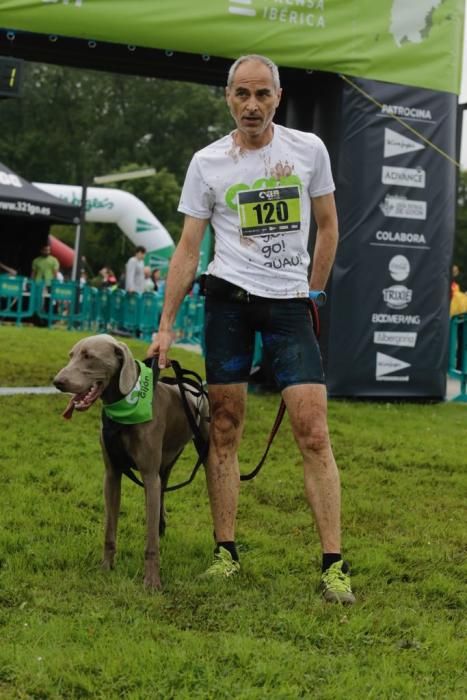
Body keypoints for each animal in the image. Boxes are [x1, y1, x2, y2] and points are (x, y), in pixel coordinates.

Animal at [53, 336, 210, 588]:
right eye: (71, 355)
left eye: (89, 356)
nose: (58, 382)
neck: (124, 408)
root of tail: (194, 386)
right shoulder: (112, 474)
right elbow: (110, 529)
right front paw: (106, 568)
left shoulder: (149, 475)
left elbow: (150, 543)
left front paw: (152, 581)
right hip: (167, 462)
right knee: (163, 491)